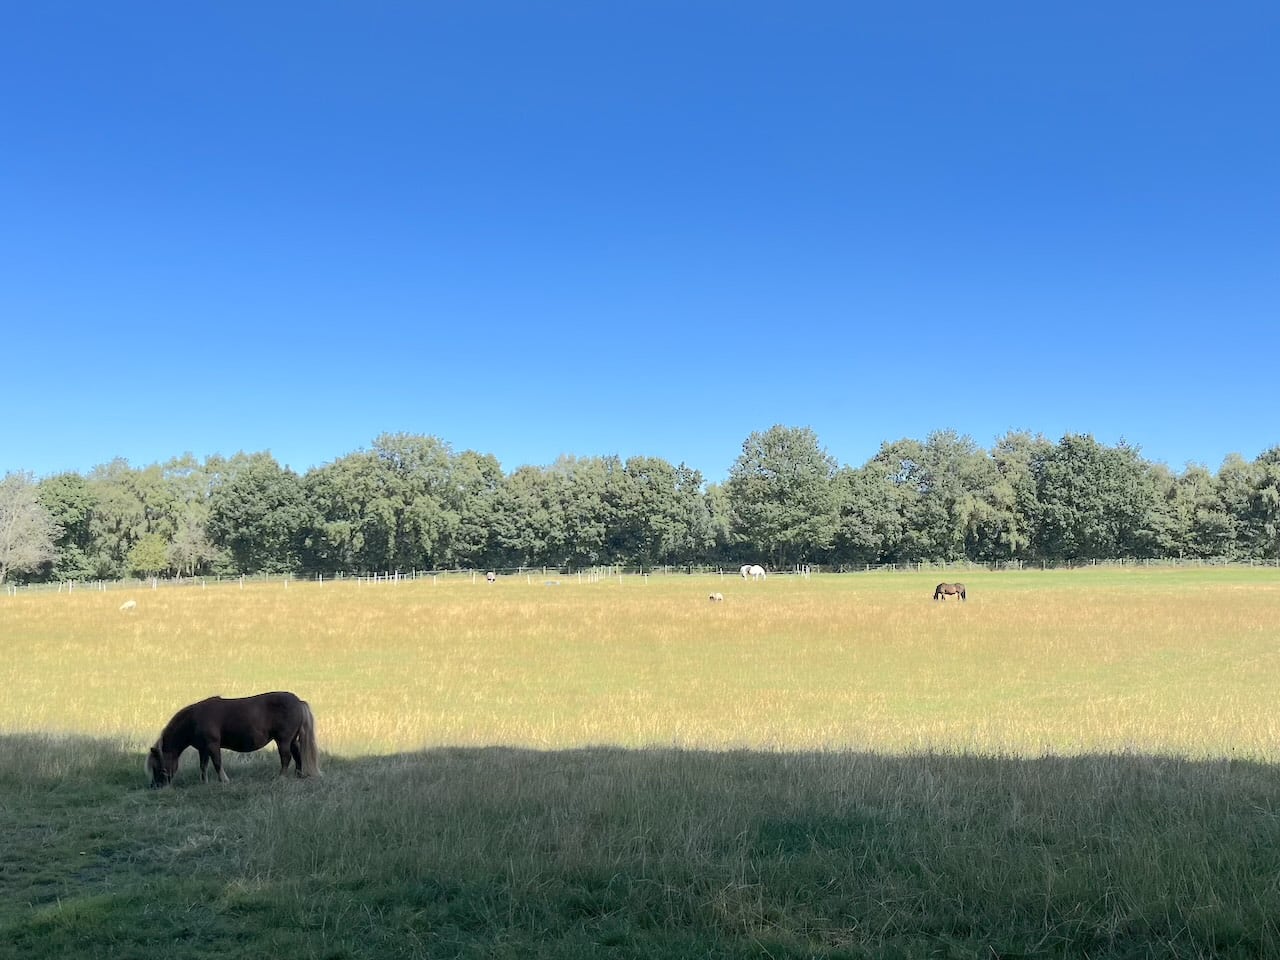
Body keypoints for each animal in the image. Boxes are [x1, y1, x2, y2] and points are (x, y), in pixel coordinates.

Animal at [146, 691, 320, 788]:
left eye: (158, 767)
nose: (155, 786)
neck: (194, 720)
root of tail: (298, 701)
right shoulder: (203, 749)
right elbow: (203, 766)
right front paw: (204, 782)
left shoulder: (213, 745)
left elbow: (217, 763)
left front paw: (224, 780)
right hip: (292, 740)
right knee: (297, 755)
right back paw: (298, 775)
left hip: (283, 740)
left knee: (286, 758)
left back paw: (281, 778)